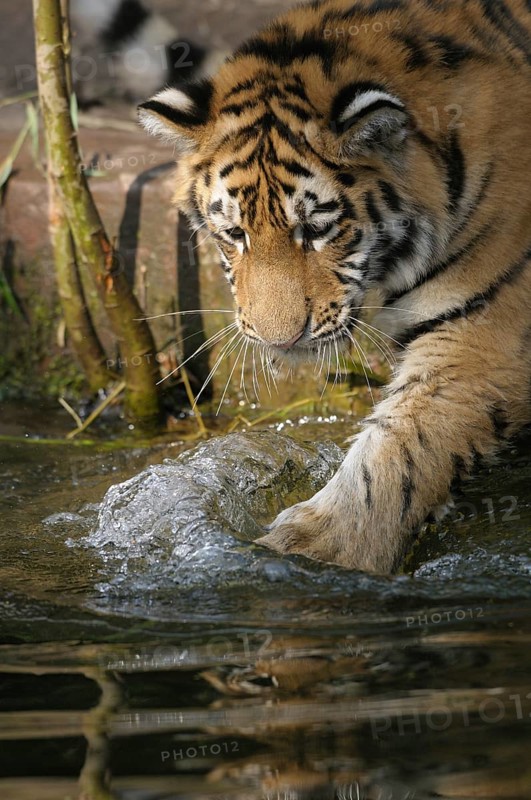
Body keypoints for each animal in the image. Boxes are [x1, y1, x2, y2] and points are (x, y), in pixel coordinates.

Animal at [139, 0, 531, 573]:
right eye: (235, 234)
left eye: (317, 229)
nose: (279, 339)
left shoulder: (482, 333)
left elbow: (400, 447)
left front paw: (324, 548)